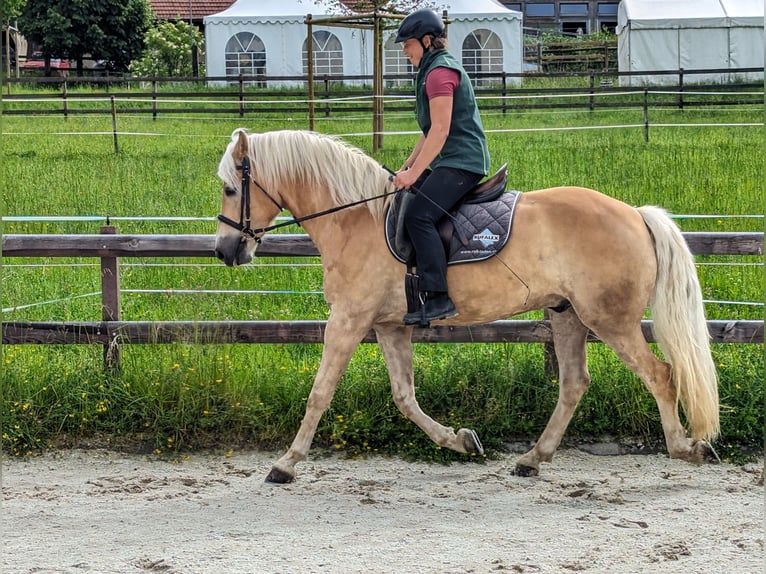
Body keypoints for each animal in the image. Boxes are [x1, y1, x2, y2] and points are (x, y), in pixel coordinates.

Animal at [214, 128, 720, 484]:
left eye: (230, 189)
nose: (225, 251)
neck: (355, 217)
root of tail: (635, 214)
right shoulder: (390, 326)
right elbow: (405, 397)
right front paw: (461, 441)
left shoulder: (348, 320)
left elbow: (320, 393)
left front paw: (286, 463)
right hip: (568, 315)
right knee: (575, 383)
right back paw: (533, 458)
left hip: (609, 319)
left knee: (660, 375)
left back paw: (686, 448)